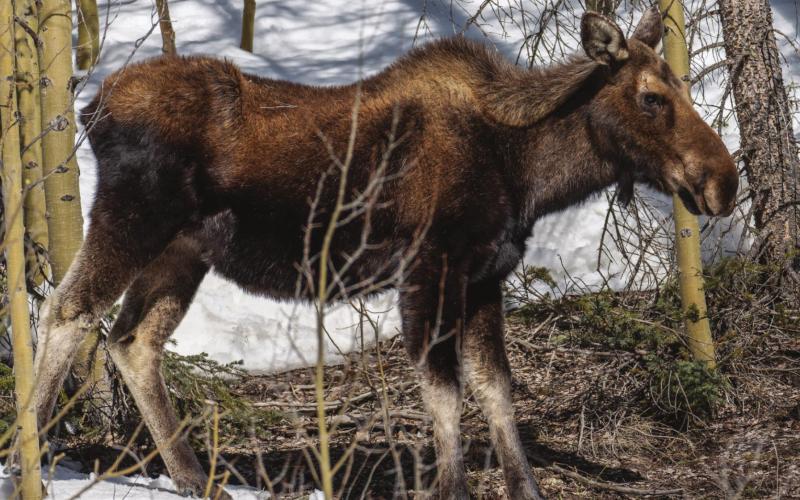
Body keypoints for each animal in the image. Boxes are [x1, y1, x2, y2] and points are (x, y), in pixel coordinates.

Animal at [23, 7, 737, 499]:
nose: (723, 182)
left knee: (132, 340)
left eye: (683, 86)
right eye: (651, 97)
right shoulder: (428, 271)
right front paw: (451, 488)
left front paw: (525, 487)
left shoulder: (485, 276)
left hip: (184, 251)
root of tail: (91, 108)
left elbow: (496, 388)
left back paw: (196, 477)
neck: (525, 171)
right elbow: (445, 392)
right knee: (67, 311)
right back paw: (27, 460)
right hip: (133, 219)